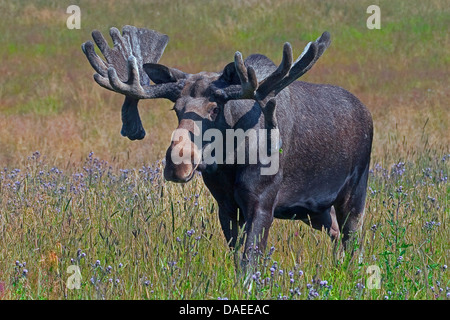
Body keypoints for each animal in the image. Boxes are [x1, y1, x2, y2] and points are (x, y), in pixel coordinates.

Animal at [81, 25, 372, 262]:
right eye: (176, 108)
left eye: (215, 109)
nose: (178, 163)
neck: (232, 159)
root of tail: (366, 112)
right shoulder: (226, 207)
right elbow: (235, 259)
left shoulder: (262, 201)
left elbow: (249, 262)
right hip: (315, 211)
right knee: (336, 235)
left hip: (354, 193)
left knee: (353, 243)